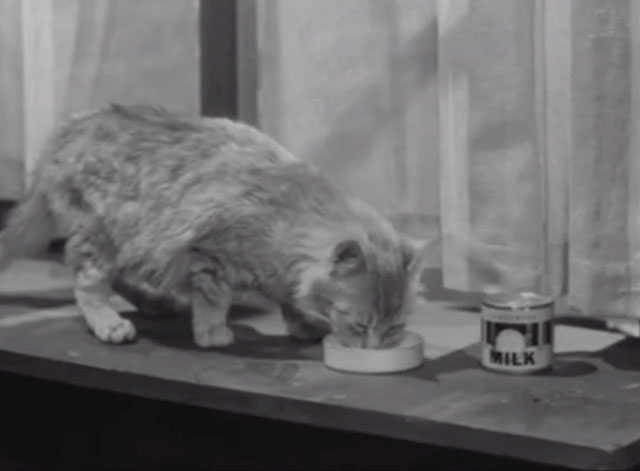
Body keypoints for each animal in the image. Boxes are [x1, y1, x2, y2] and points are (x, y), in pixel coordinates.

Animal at [1, 105, 430, 348]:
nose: (374, 349)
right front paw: (212, 334)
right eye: (359, 324)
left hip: (129, 242)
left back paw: (158, 304)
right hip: (104, 233)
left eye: (395, 328)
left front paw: (304, 324)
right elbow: (214, 302)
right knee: (86, 283)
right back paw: (110, 324)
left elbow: (291, 300)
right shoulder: (211, 255)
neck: (292, 214)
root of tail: (66, 132)